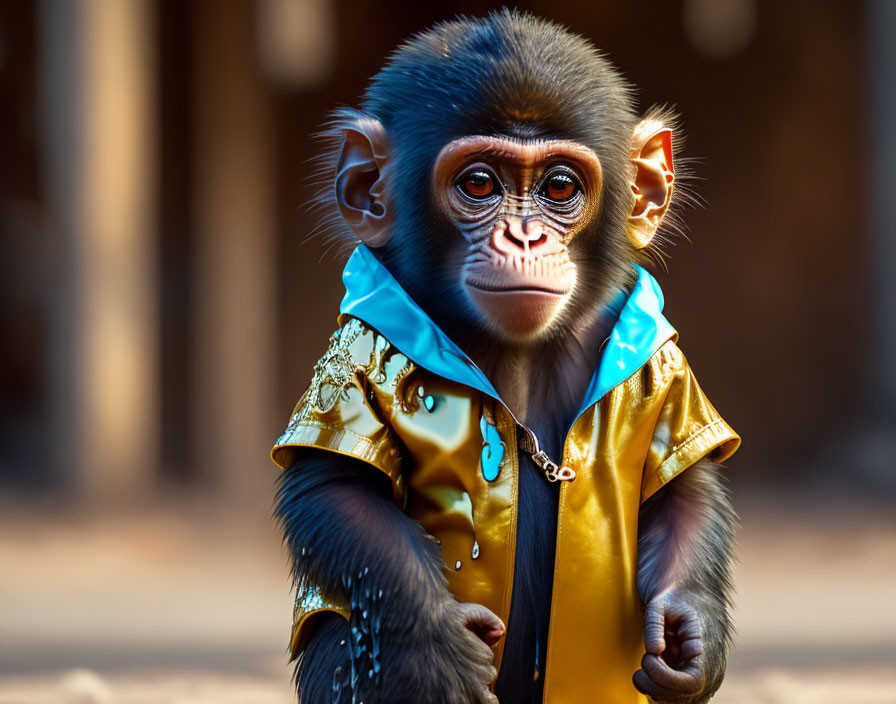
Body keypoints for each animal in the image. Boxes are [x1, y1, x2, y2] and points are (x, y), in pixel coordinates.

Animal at [270, 11, 740, 704]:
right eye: (479, 184)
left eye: (560, 186)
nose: (524, 236)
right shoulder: (360, 346)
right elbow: (340, 487)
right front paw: (434, 644)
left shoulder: (659, 355)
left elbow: (683, 485)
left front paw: (690, 628)